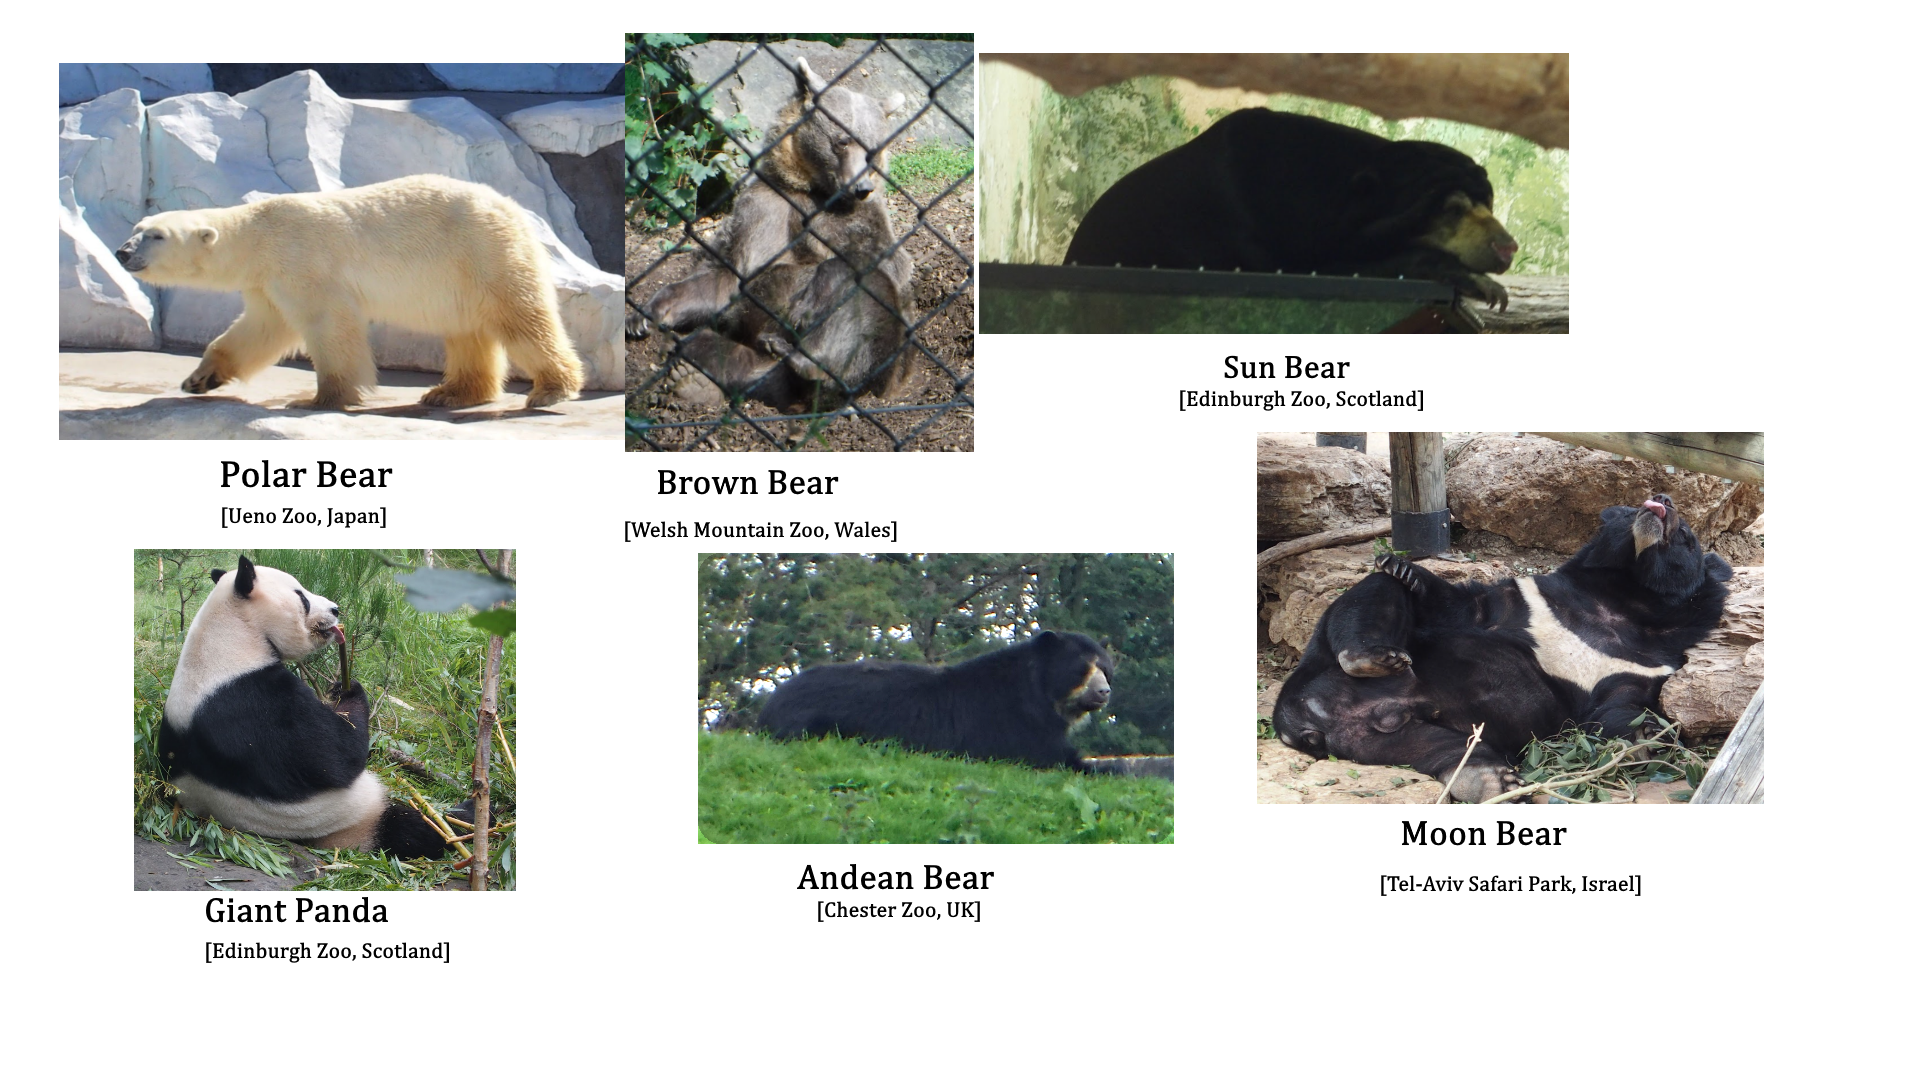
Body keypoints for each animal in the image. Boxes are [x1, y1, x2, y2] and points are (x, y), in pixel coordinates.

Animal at [115, 174, 586, 411]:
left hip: (482, 251)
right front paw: (198, 378)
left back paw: (551, 388)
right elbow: (259, 330)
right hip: (460, 274)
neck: (259, 234)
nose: (122, 252)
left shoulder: (301, 261)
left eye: (155, 236)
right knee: (466, 329)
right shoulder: (267, 282)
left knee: (520, 316)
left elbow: (328, 326)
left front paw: (319, 399)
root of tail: (514, 207)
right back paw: (450, 393)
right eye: (136, 228)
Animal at [632, 57, 915, 409]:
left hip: (879, 362)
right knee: (727, 353)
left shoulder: (859, 223)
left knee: (860, 302)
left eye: (873, 149)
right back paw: (691, 376)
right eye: (842, 141)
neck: (809, 189)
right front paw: (646, 314)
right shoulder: (764, 207)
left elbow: (878, 265)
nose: (861, 187)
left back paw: (811, 364)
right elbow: (728, 276)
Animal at [761, 630, 1114, 771]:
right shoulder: (1013, 722)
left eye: (1106, 669)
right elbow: (1053, 756)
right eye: (1082, 669)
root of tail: (769, 705)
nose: (1103, 692)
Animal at [1273, 495, 1733, 802]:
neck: (1626, 598)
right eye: (1628, 511)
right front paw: (1404, 565)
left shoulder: (1642, 664)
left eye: (1687, 536)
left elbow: (1615, 710)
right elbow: (1459, 605)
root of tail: (1302, 724)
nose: (1662, 501)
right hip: (1324, 666)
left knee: (1447, 748)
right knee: (1371, 597)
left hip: (1379, 741)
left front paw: (1653, 733)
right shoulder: (1525, 600)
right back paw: (1375, 654)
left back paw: (1492, 781)